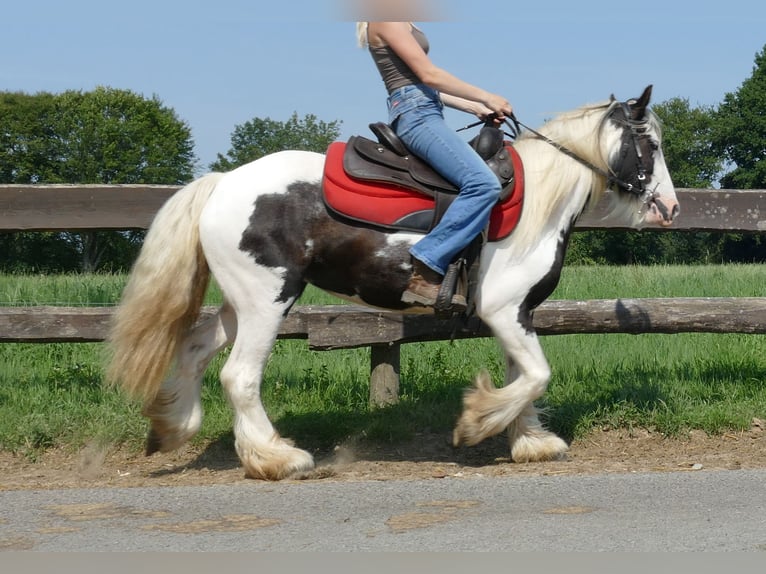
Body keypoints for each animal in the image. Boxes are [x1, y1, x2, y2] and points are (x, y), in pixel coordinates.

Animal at [106, 85, 680, 482]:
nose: (671, 208)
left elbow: (523, 375)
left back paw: (174, 428)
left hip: (239, 304)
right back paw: (277, 458)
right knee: (240, 377)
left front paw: (529, 440)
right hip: (268, 301)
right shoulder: (503, 309)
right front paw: (476, 423)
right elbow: (537, 374)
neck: (538, 200)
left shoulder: (518, 314)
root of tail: (223, 182)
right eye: (649, 143)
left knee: (196, 349)